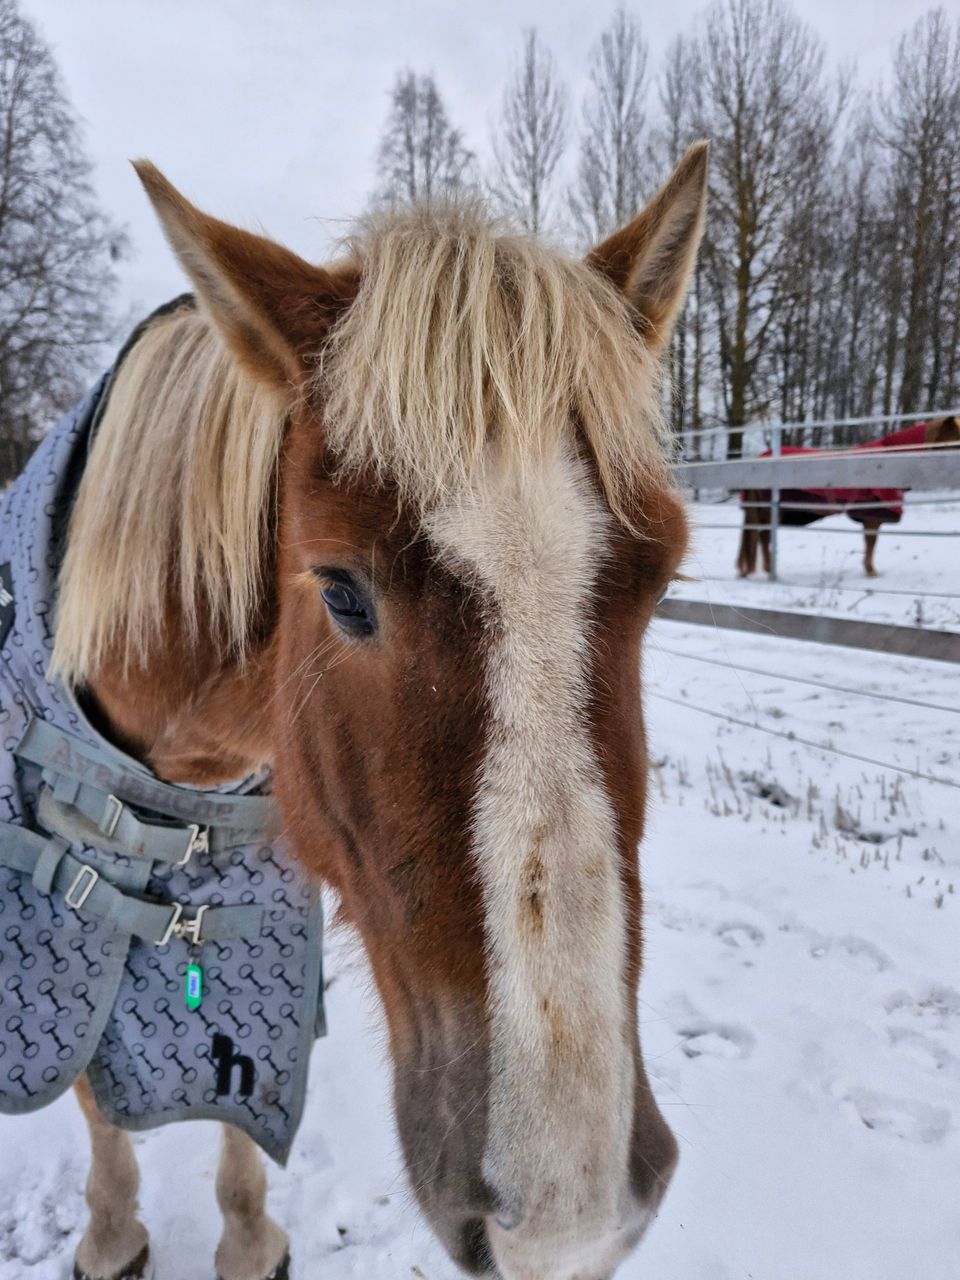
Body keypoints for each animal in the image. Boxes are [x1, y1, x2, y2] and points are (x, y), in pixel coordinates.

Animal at [47, 142, 706, 1280]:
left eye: (660, 581)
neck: (184, 773)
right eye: (343, 590)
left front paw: (247, 1235)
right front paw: (112, 1229)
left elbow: (243, 1095)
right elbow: (96, 1089)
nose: (567, 1220)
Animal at [742, 417, 957, 578]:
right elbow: (870, 543)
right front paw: (871, 571)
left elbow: (870, 543)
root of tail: (760, 458)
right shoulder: (872, 516)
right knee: (764, 537)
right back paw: (769, 569)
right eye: (956, 436)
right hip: (770, 511)